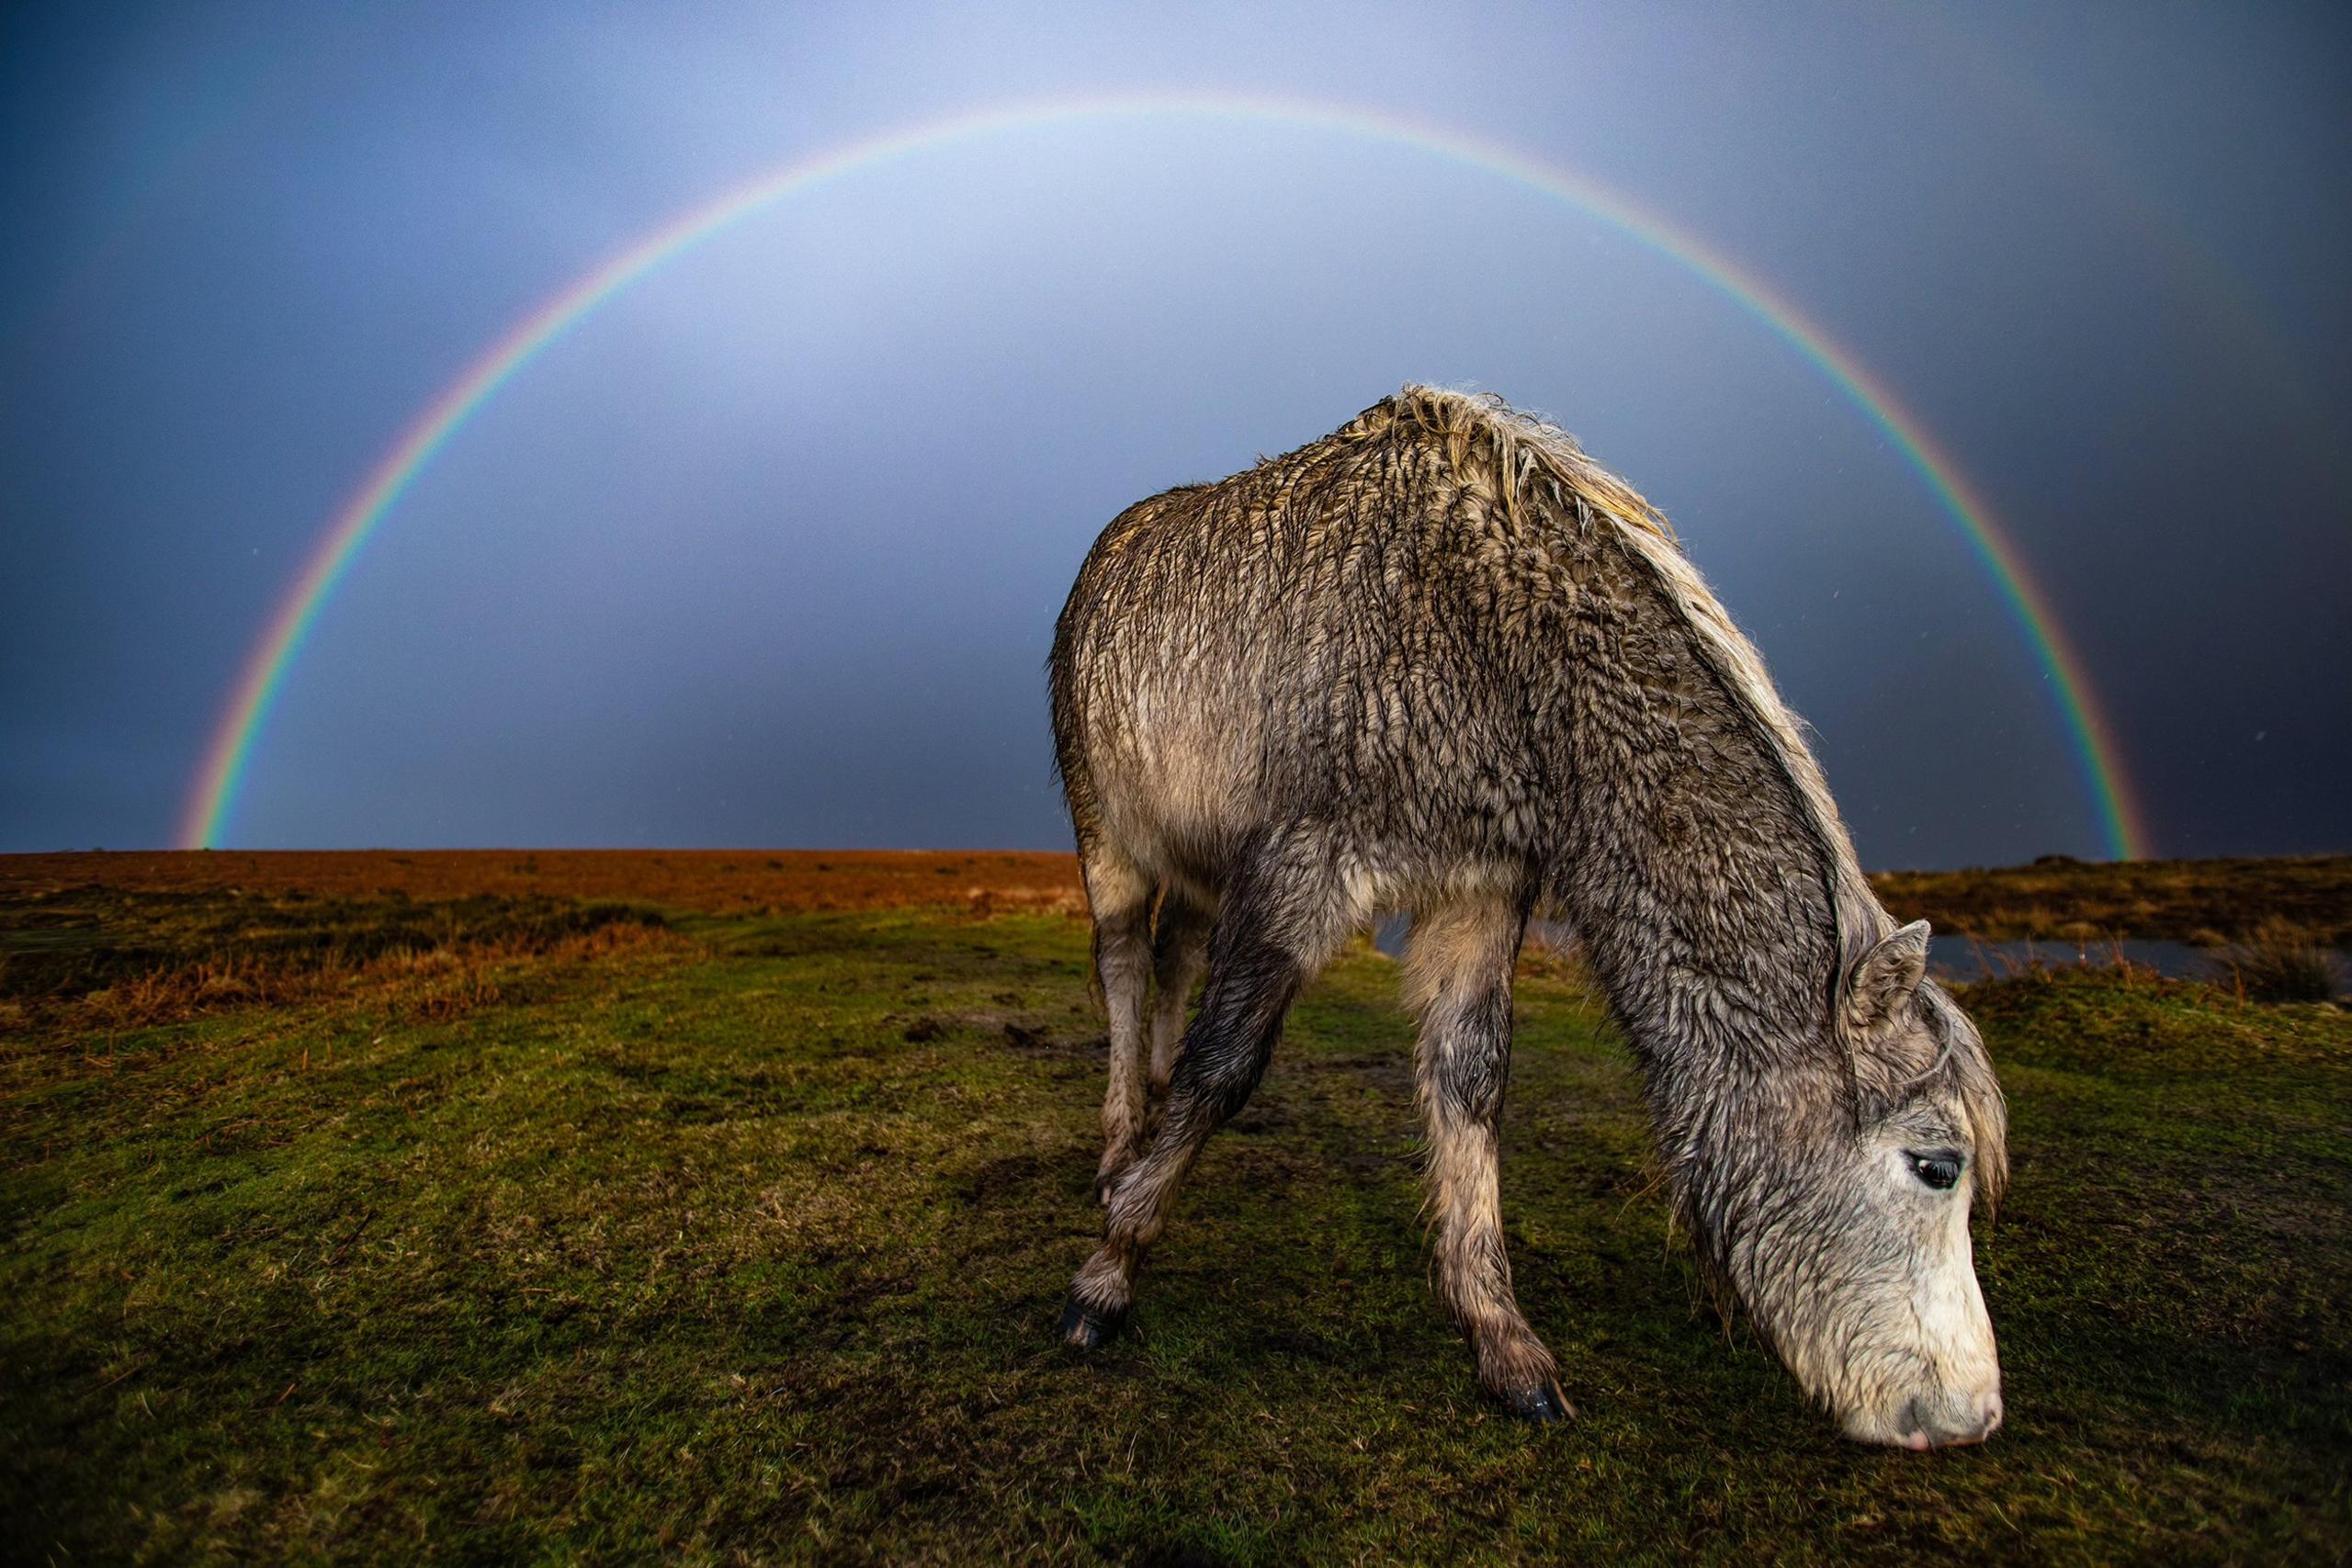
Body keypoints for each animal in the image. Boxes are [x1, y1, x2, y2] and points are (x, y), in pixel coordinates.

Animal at [1048, 389, 2004, 1448]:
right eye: (1936, 1166)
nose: (1974, 1415)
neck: (1493, 640)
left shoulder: (1478, 893)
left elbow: (1471, 1084)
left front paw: (1501, 1338)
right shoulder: (1296, 874)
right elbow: (1223, 1069)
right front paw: (1109, 1273)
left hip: (1197, 861)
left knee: (1172, 963)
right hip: (1109, 838)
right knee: (1125, 967)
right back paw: (1121, 1144)